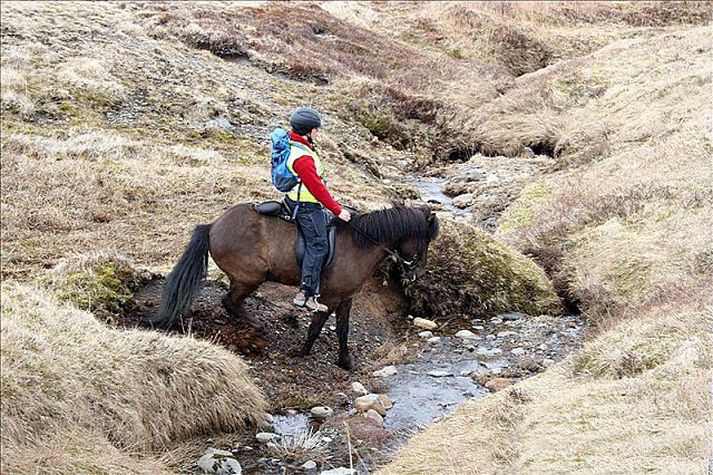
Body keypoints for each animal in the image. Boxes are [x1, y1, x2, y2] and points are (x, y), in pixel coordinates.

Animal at [147, 201, 440, 372]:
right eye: (425, 240)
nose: (418, 274)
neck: (360, 244)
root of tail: (213, 226)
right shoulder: (330, 298)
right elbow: (316, 327)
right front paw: (303, 352)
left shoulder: (346, 298)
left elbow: (343, 330)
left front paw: (345, 361)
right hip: (250, 277)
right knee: (230, 302)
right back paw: (256, 327)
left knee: (231, 303)